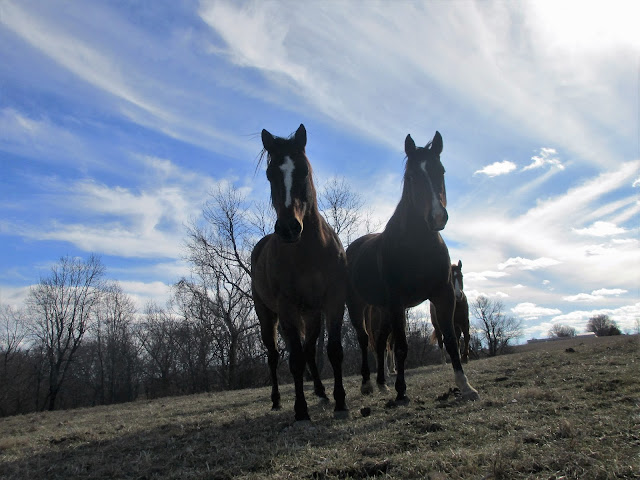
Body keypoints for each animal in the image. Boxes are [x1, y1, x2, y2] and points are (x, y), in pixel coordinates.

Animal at [251, 124, 349, 421]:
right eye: (270, 174)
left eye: (304, 170)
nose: (288, 228)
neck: (308, 252)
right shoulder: (287, 309)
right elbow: (293, 360)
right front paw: (301, 410)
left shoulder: (333, 303)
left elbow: (333, 351)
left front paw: (340, 401)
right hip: (268, 316)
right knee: (274, 355)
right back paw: (276, 400)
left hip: (311, 314)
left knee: (308, 351)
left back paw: (321, 391)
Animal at [346, 131, 478, 403]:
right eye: (411, 177)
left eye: (441, 170)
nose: (437, 217)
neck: (418, 247)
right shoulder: (398, 302)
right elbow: (402, 347)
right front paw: (401, 391)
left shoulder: (443, 296)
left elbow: (451, 340)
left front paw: (465, 386)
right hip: (357, 306)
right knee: (365, 340)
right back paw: (367, 384)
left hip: (383, 310)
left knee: (380, 341)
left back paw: (382, 383)